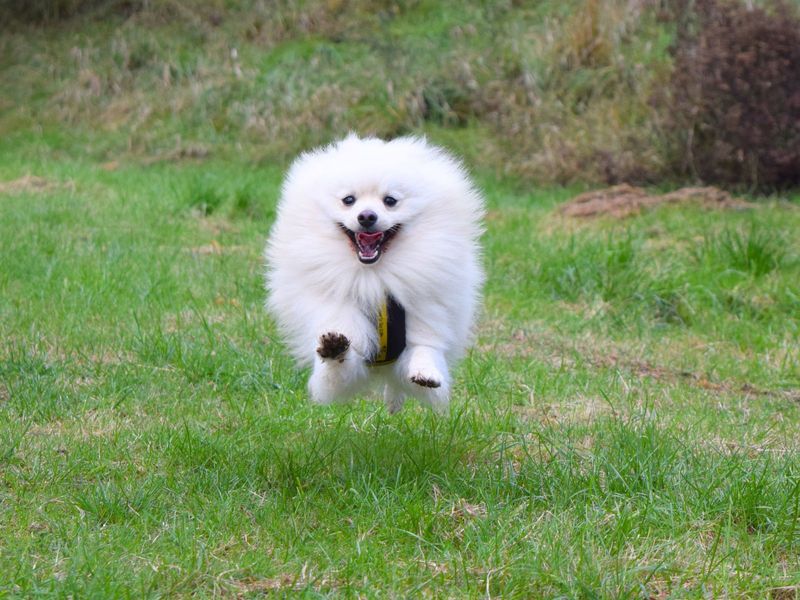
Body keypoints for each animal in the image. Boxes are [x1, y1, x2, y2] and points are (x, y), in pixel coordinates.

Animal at [266, 134, 484, 410]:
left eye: (390, 201)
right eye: (348, 200)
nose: (367, 216)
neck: (374, 278)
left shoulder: (424, 318)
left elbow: (425, 350)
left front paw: (426, 371)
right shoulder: (340, 322)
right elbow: (337, 371)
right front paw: (334, 350)